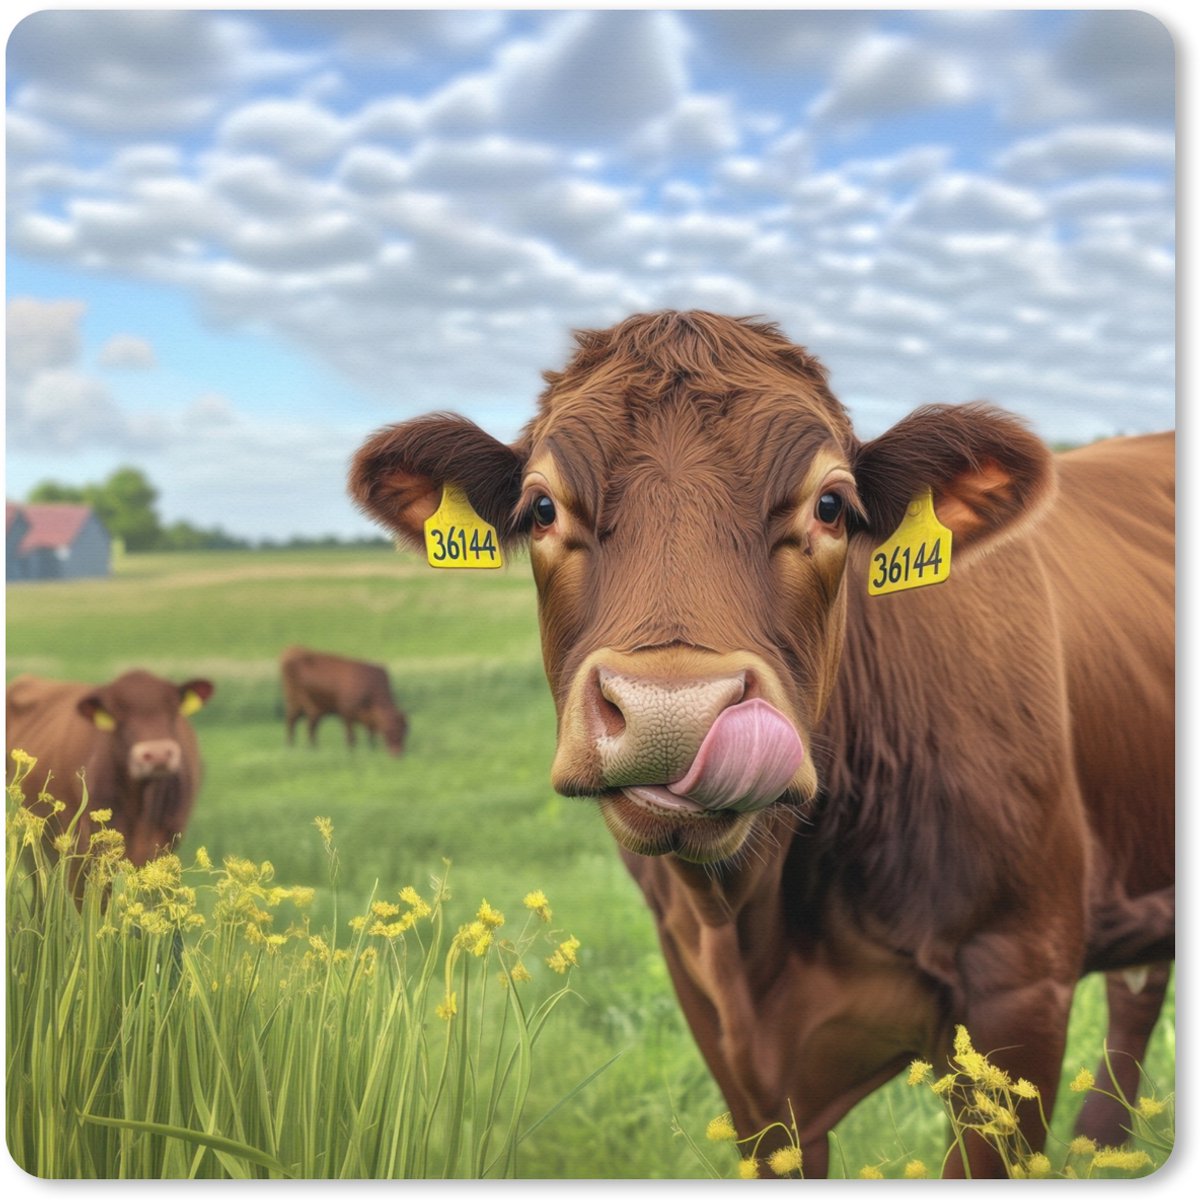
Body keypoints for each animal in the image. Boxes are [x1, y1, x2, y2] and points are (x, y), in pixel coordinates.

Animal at [348, 310, 1173, 1177]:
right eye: (541, 508)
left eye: (833, 505)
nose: (672, 711)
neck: (757, 917)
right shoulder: (722, 1026)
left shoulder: (1020, 984)